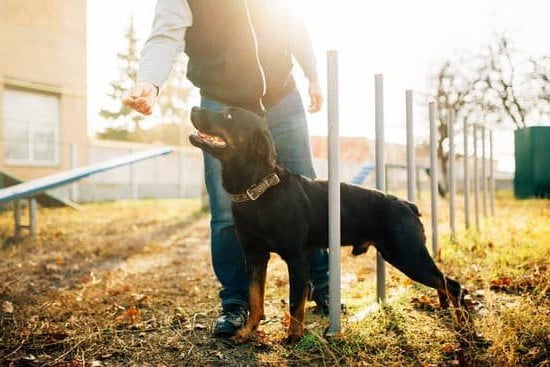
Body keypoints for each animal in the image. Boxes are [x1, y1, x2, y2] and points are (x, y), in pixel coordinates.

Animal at [191, 108, 470, 344]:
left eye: (228, 116)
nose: (194, 108)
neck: (256, 192)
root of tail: (407, 204)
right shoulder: (255, 257)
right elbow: (255, 299)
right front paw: (247, 332)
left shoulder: (297, 258)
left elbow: (295, 303)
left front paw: (293, 337)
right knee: (444, 283)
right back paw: (445, 308)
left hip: (406, 255)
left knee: (452, 284)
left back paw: (462, 324)